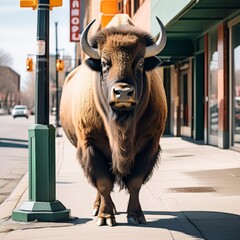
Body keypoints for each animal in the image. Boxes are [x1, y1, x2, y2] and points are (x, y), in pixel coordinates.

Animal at [60, 14, 167, 226]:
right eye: (104, 63)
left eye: (140, 63)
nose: (123, 92)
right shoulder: (91, 145)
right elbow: (103, 183)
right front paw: (105, 217)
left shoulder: (149, 145)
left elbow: (135, 183)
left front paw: (136, 216)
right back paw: (97, 208)